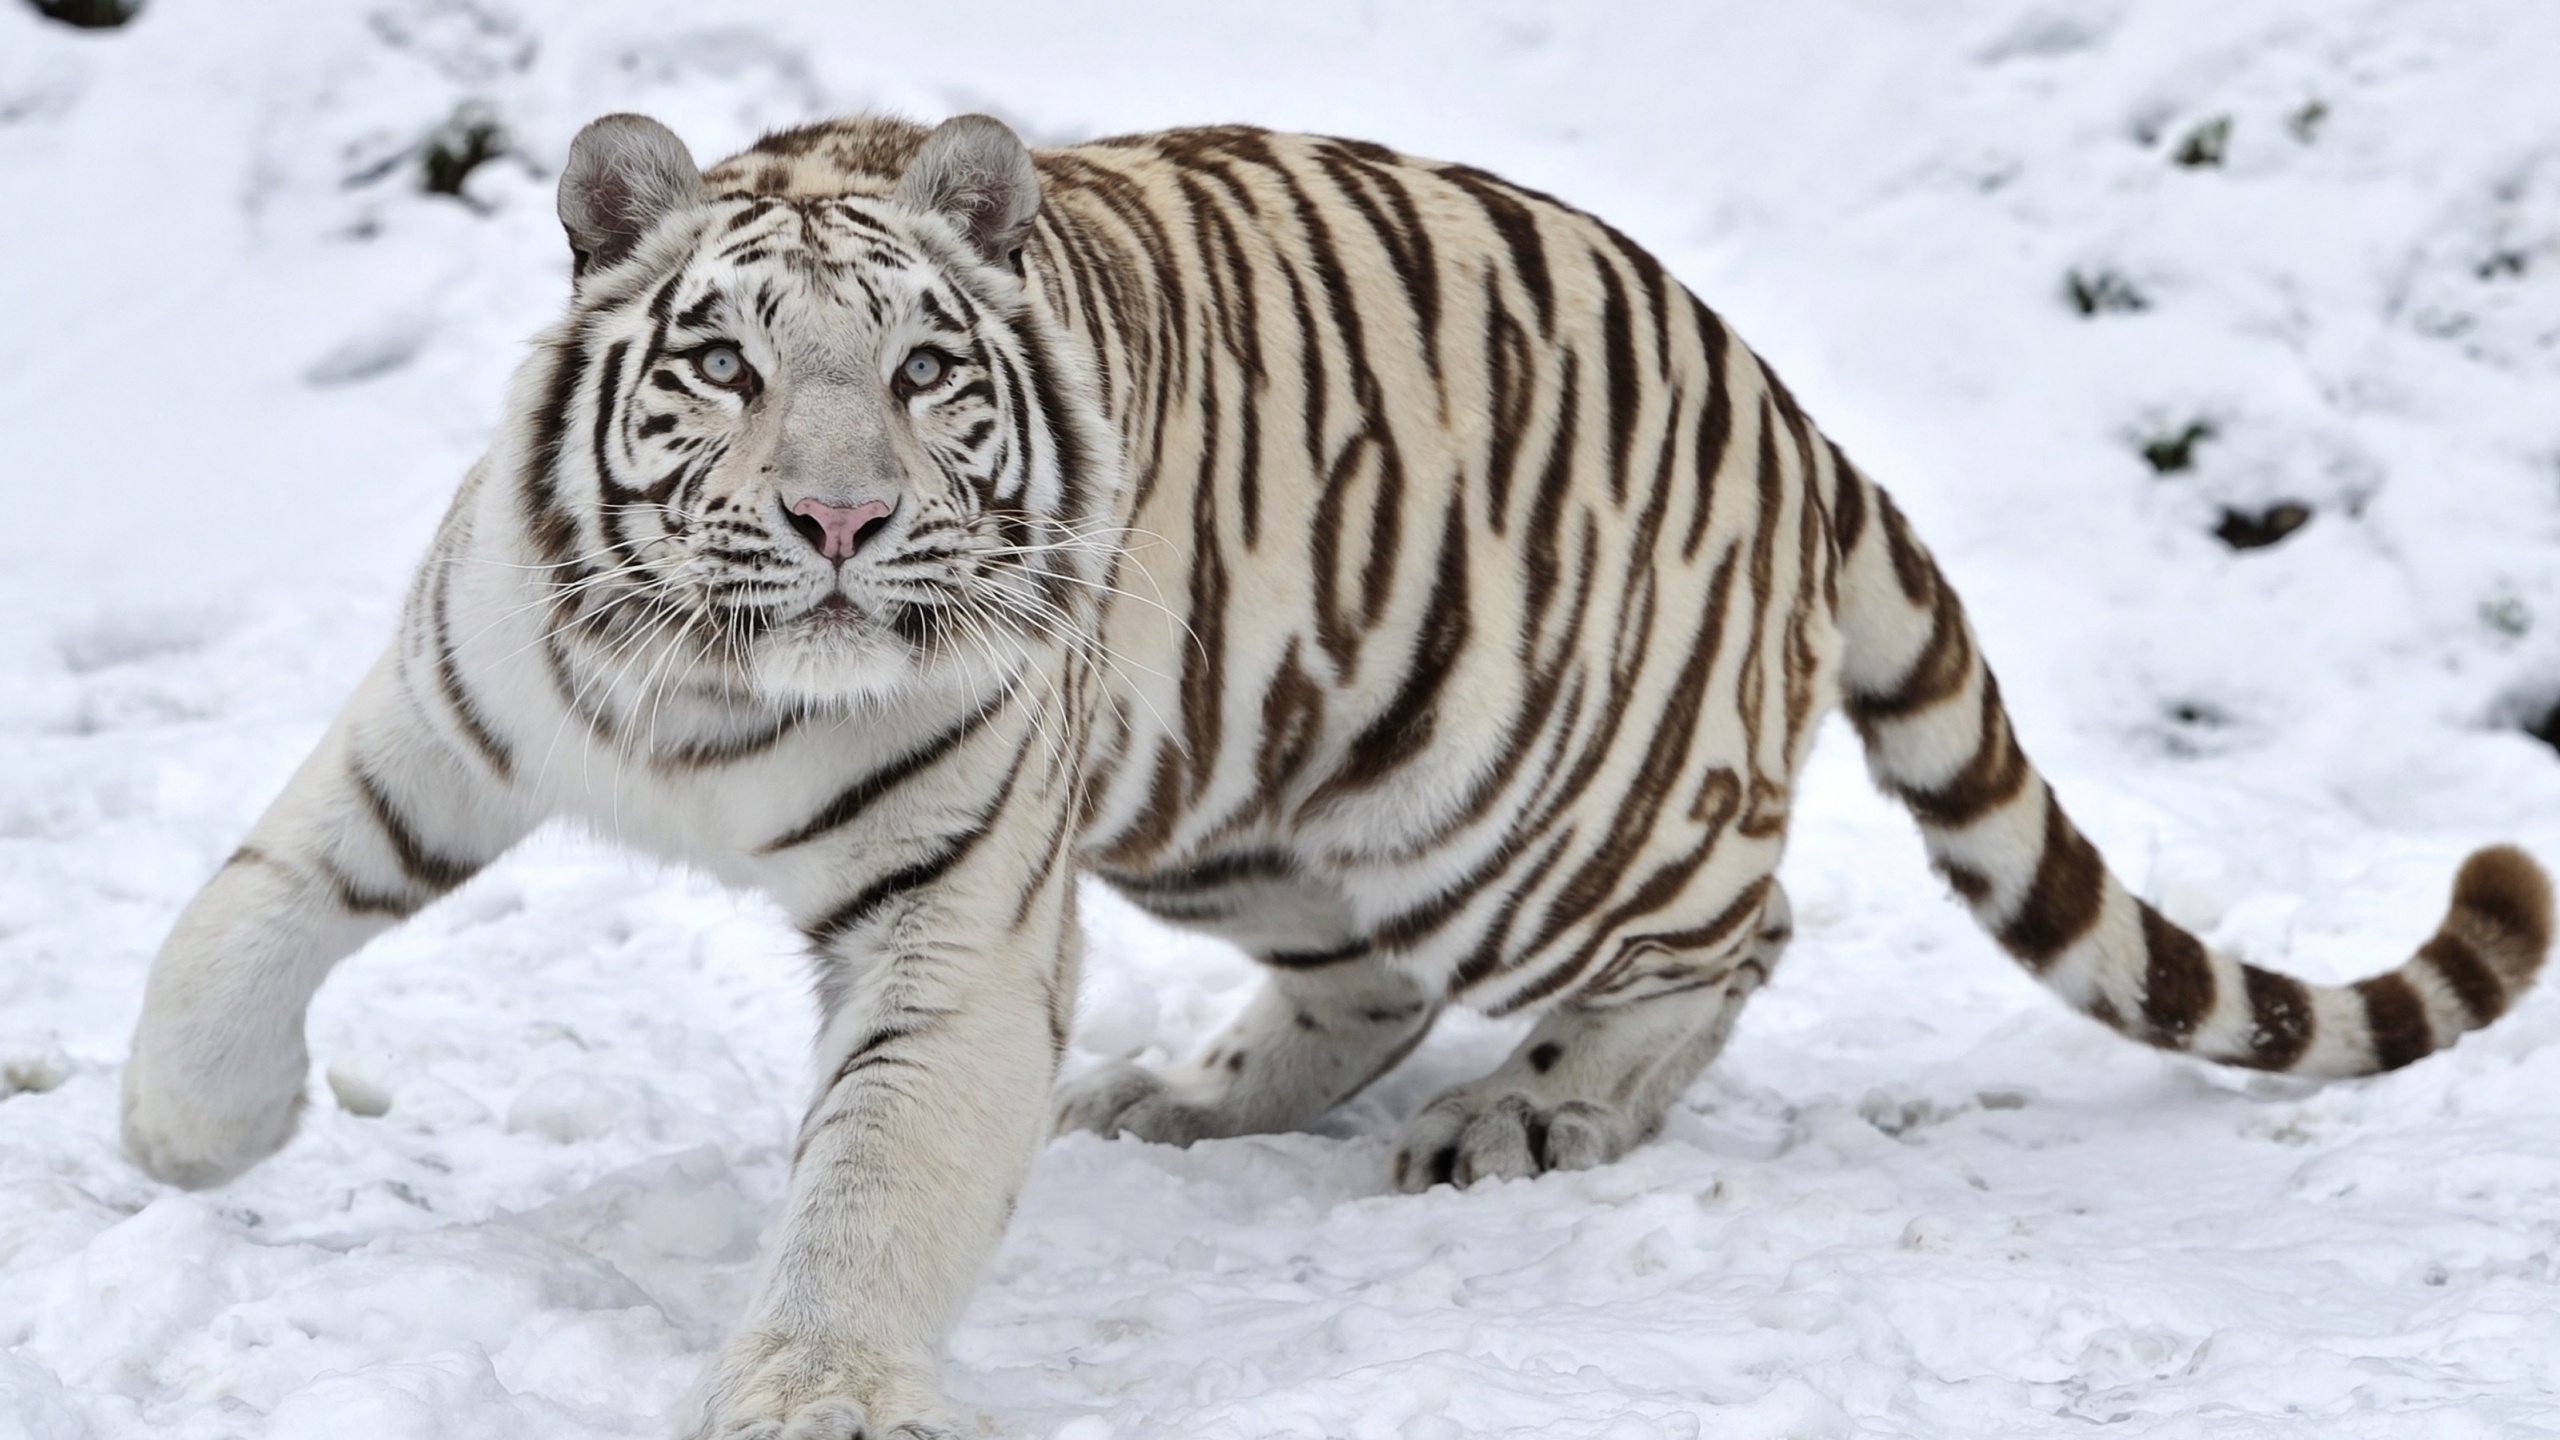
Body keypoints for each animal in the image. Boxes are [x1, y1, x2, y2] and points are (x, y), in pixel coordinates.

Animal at [115, 114, 2539, 1434]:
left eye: (919, 374)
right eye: (717, 363)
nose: (834, 520)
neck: (717, 690)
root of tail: (1792, 414)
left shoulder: (956, 927)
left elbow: (870, 1186)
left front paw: (815, 1395)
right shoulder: (448, 710)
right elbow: (243, 909)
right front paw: (188, 1140)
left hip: (1529, 805)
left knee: (1741, 921)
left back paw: (1529, 1117)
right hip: (1251, 790)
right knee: (1362, 977)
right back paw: (1192, 1101)